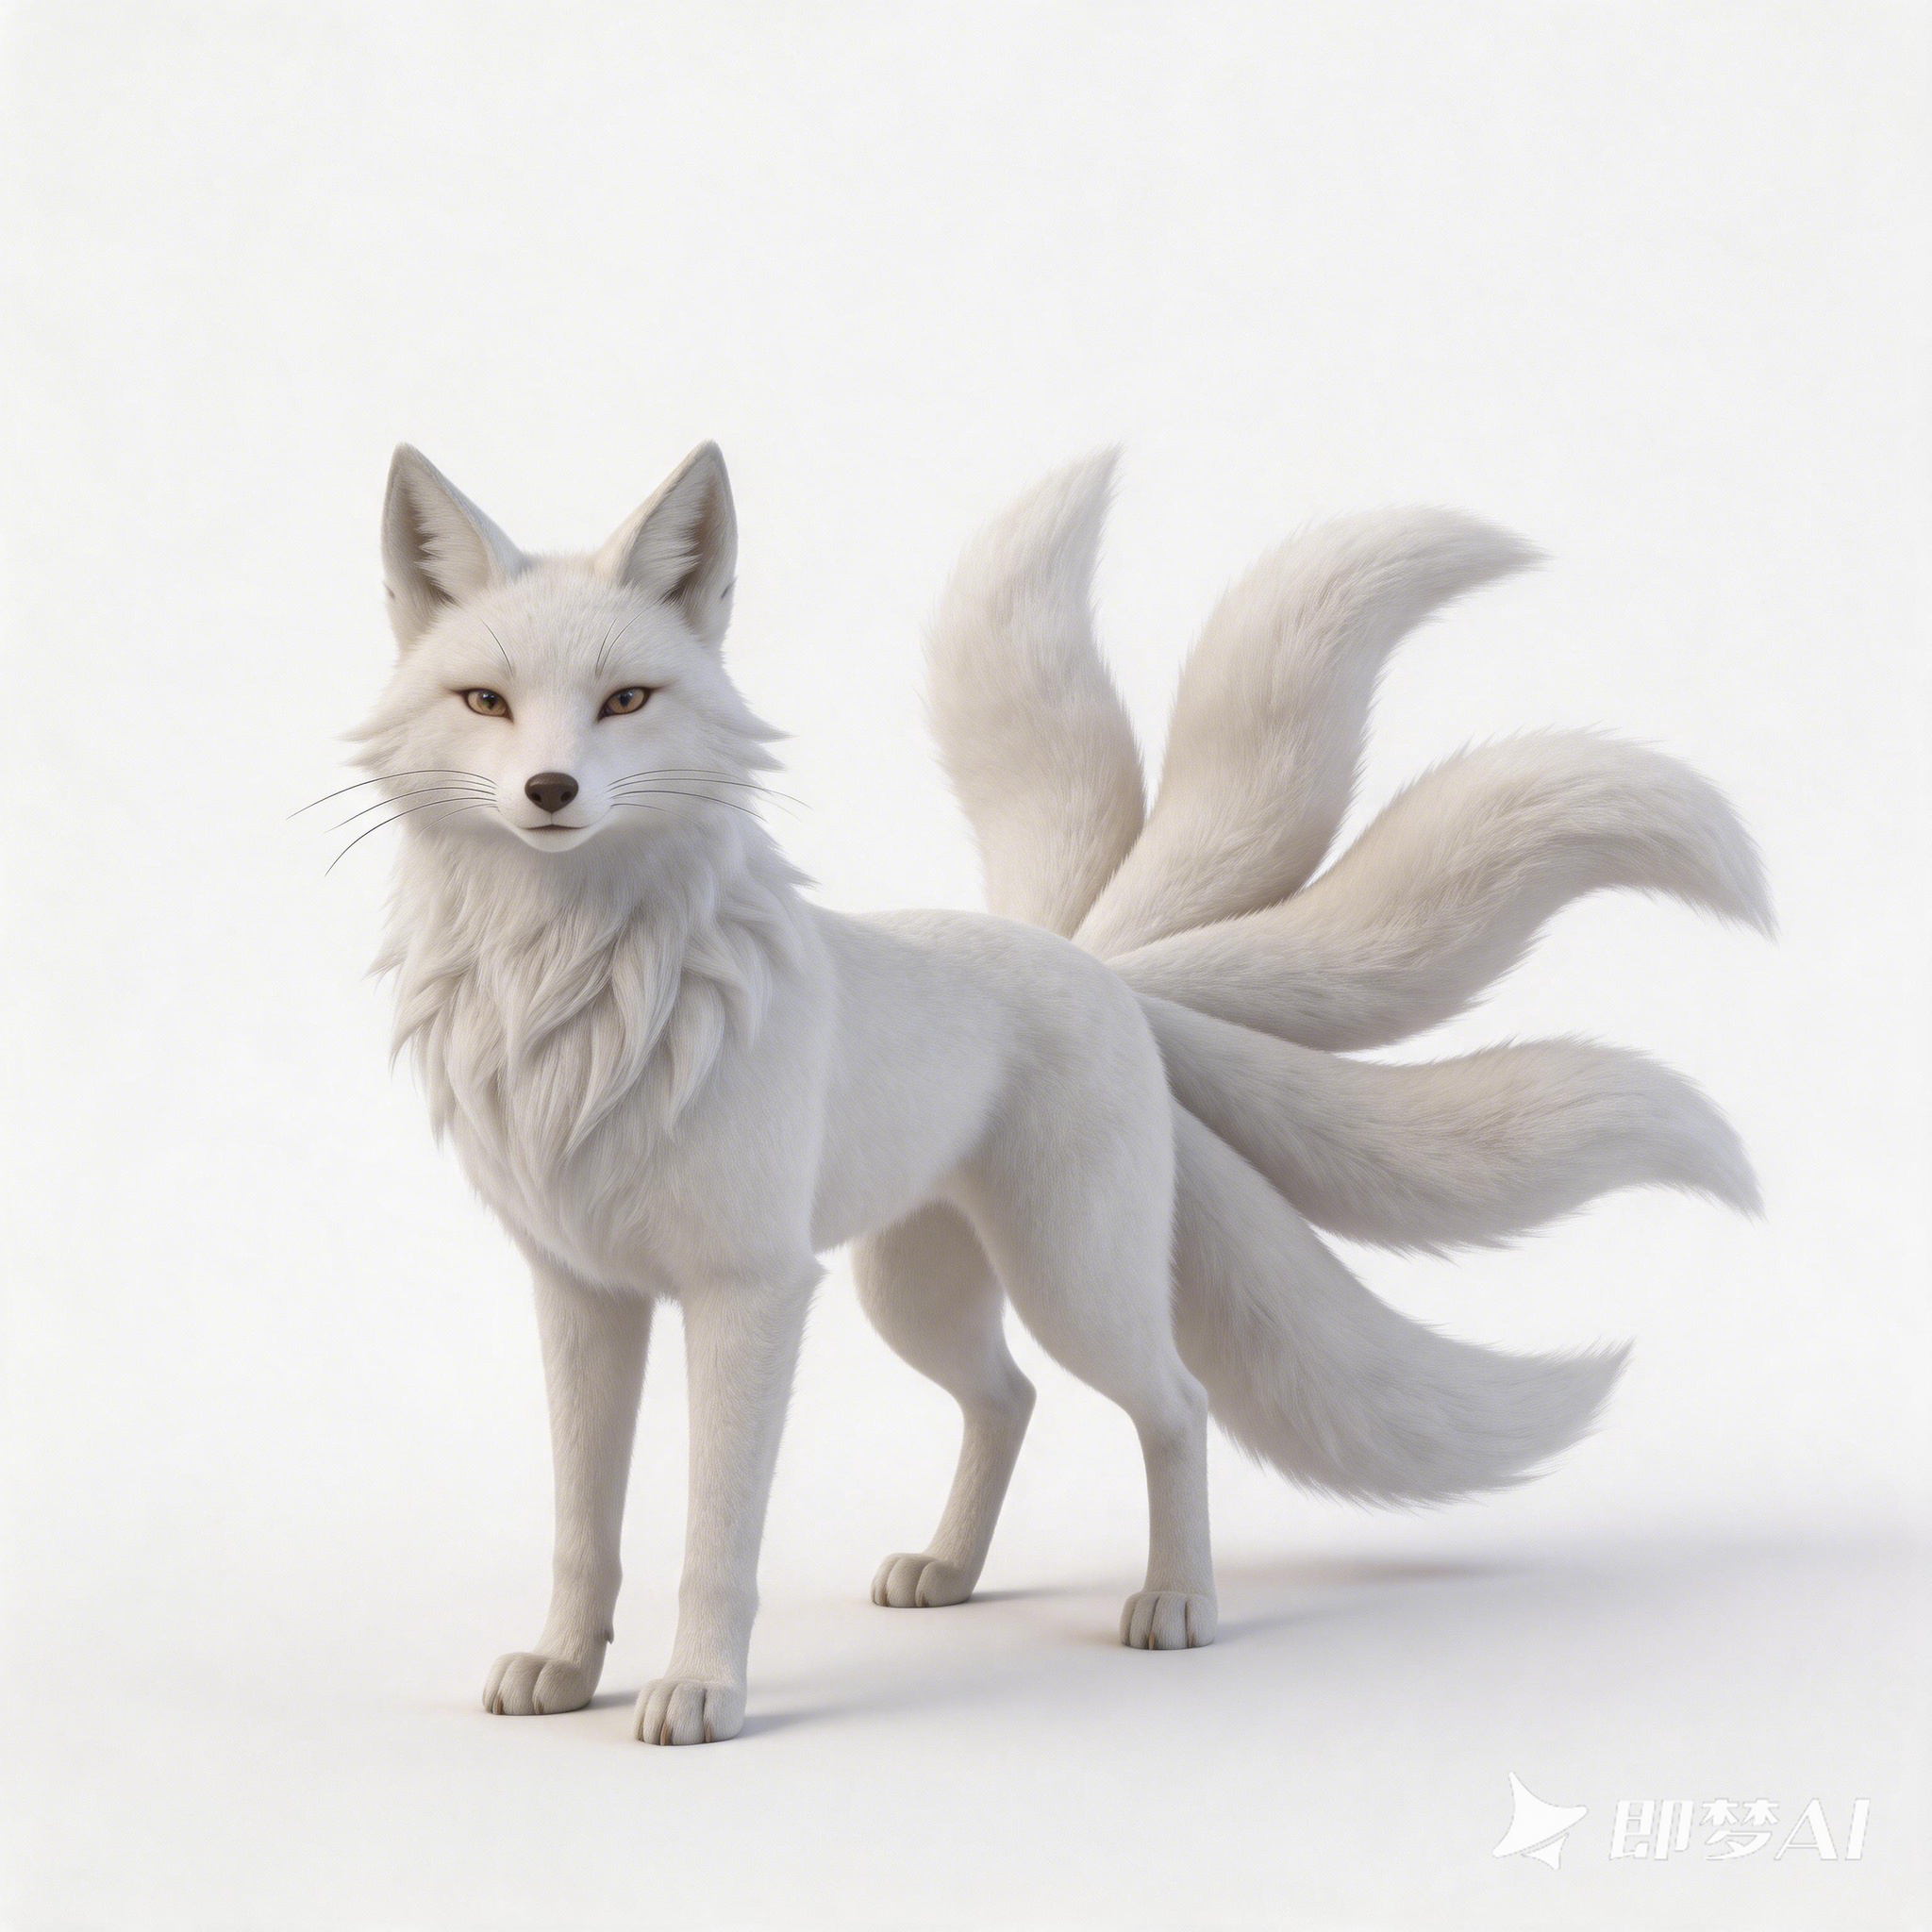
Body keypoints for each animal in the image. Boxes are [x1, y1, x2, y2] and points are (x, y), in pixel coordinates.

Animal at [346, 442, 1769, 1745]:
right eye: (485, 700)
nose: (550, 791)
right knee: (1007, 1397)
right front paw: (563, 1669)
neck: (575, 995)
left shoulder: (747, 1289)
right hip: (910, 1293)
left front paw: (701, 1692)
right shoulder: (581, 1288)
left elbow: (715, 1532)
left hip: (1070, 1280)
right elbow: (582, 1521)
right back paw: (950, 1572)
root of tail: (1096, 963)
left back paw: (1177, 1605)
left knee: (1175, 1403)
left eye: (627, 699)